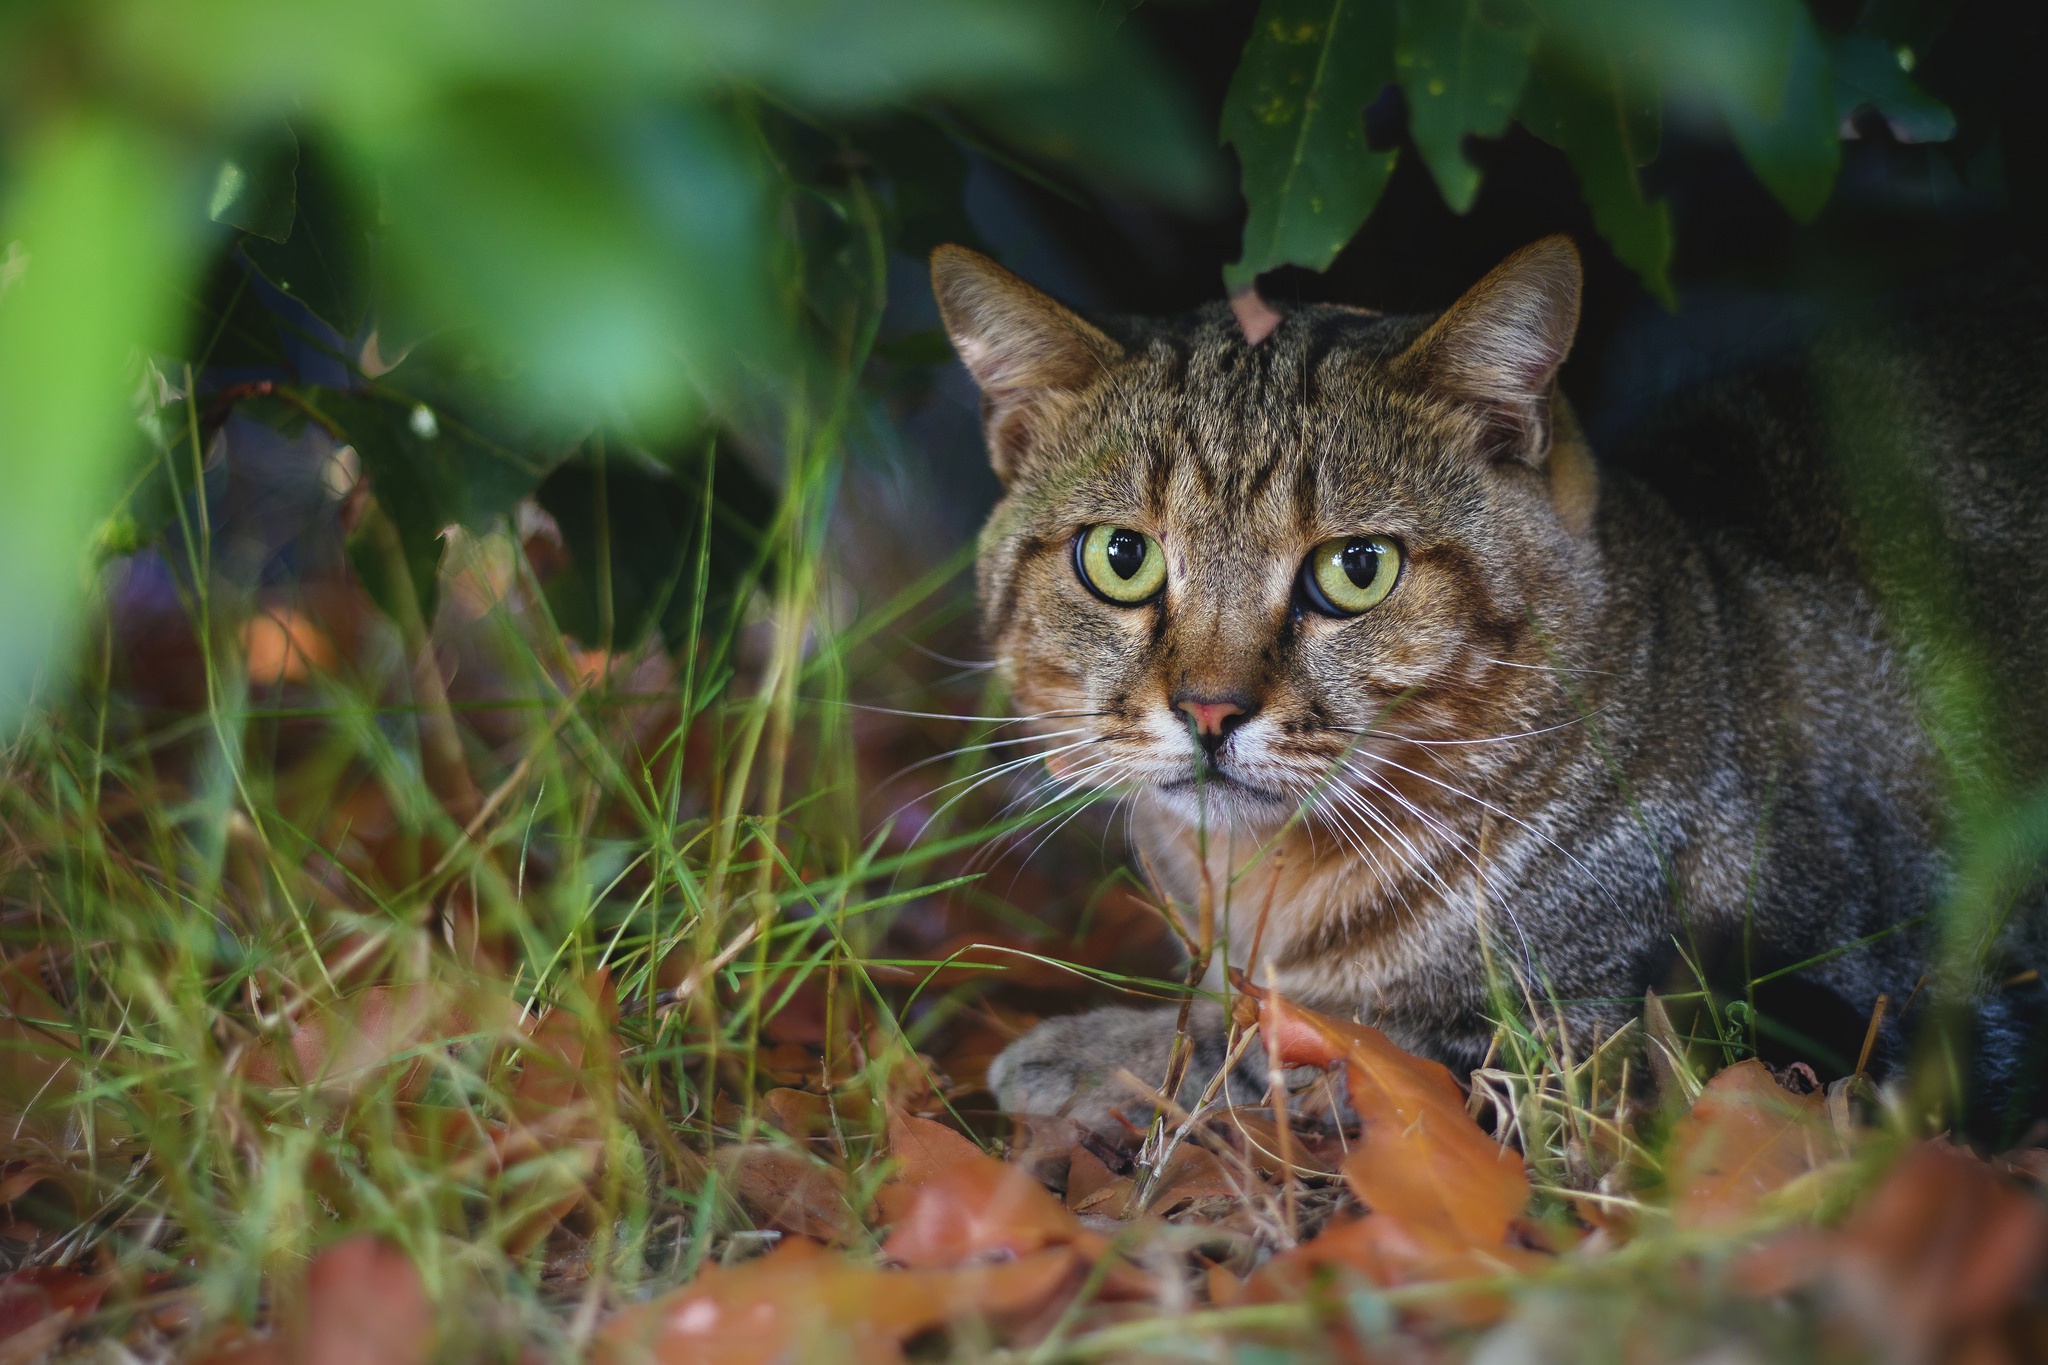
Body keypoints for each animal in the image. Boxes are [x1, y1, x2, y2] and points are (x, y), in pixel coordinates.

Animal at [937, 237, 2048, 1146]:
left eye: (1356, 569)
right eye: (1119, 557)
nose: (1210, 710)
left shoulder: (1640, 1032)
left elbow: (1314, 1046)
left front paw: (1088, 1050)